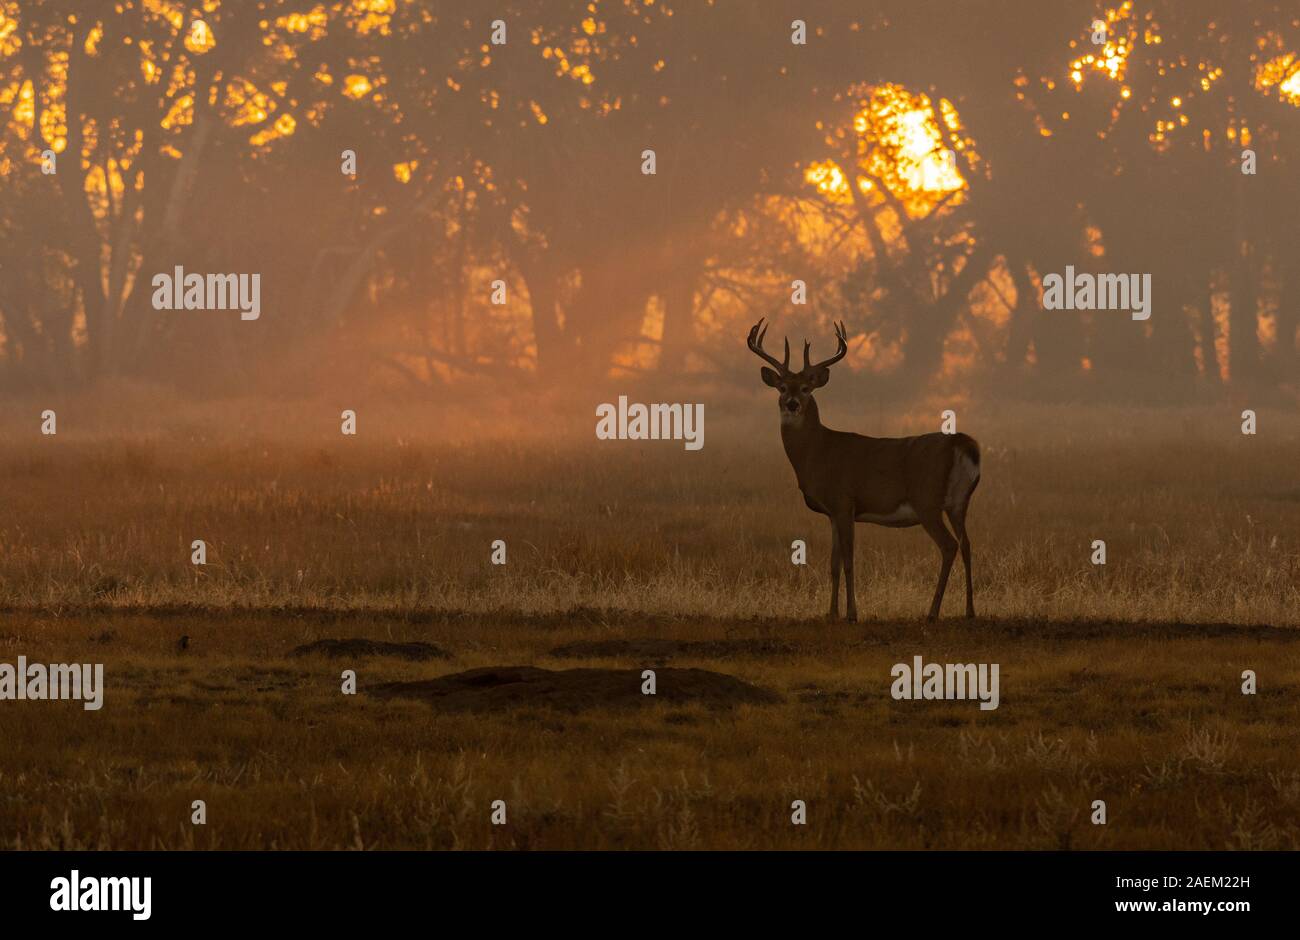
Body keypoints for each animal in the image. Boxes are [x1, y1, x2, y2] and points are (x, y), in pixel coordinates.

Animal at [746, 318, 981, 623]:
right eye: (782, 387)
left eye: (807, 388)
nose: (792, 404)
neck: (818, 452)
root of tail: (961, 442)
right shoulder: (833, 513)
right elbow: (833, 564)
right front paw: (830, 613)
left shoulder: (844, 501)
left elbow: (848, 561)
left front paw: (852, 613)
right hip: (958, 503)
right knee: (967, 544)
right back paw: (970, 611)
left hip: (927, 500)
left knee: (949, 545)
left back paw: (932, 612)